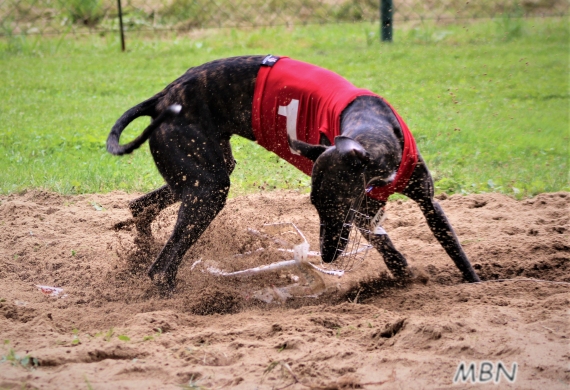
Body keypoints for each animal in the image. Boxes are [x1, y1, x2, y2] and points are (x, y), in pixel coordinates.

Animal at [106, 54, 480, 292]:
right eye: (315, 204)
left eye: (334, 203)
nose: (327, 256)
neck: (373, 130)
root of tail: (162, 97)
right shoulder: (362, 212)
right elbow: (383, 241)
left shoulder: (423, 202)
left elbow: (450, 245)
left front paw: (474, 283)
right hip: (207, 188)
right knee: (163, 265)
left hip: (200, 176)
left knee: (140, 207)